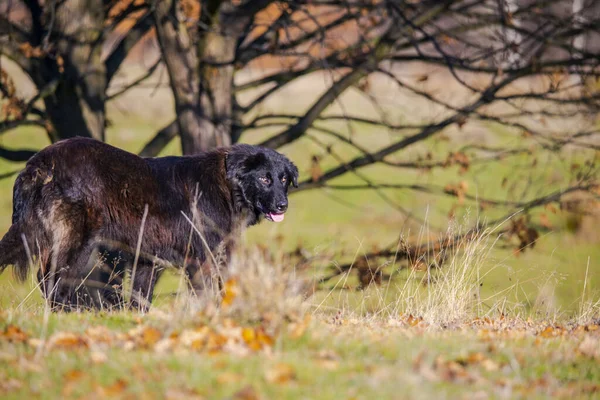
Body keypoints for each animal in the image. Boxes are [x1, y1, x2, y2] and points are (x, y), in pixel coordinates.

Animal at [0, 139, 298, 310]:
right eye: (264, 179)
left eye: (283, 179)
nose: (283, 205)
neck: (226, 185)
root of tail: (40, 162)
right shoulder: (202, 258)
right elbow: (207, 294)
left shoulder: (148, 259)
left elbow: (140, 297)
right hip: (77, 243)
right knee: (54, 281)